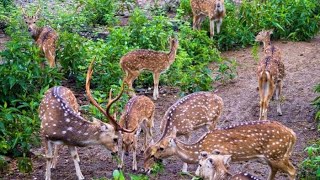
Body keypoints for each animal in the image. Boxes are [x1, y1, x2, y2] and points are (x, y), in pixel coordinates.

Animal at [148, 121, 298, 180]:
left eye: (161, 147)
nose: (152, 156)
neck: (198, 149)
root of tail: (293, 134)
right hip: (272, 156)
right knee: (274, 171)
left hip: (277, 154)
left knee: (292, 170)